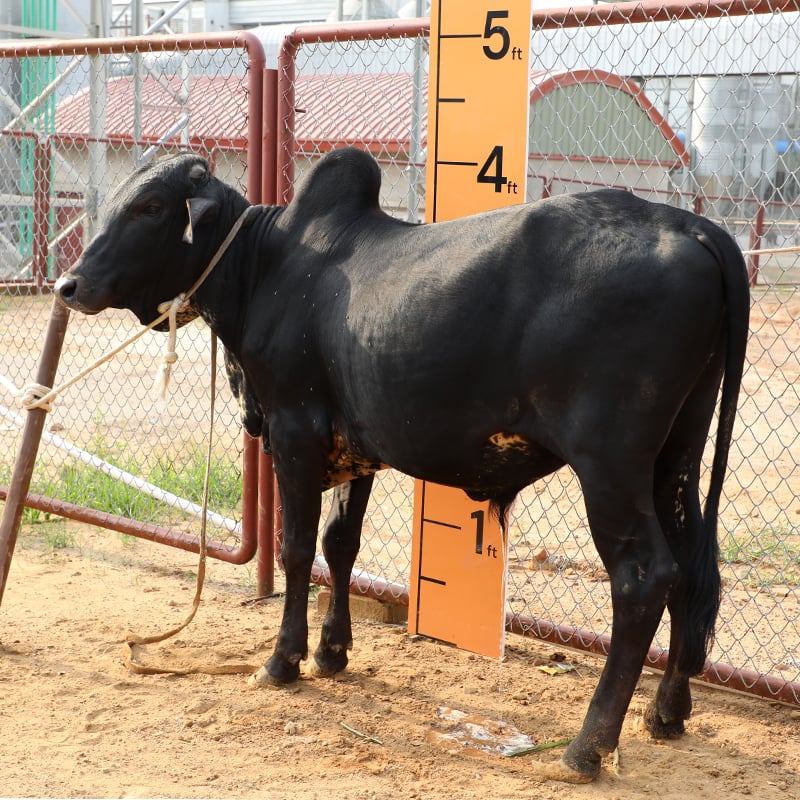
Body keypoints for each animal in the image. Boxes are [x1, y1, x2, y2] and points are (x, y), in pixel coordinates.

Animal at [54, 147, 749, 783]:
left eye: (150, 207)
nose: (69, 285)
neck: (268, 266)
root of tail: (690, 225)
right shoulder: (354, 448)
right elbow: (340, 544)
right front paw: (333, 650)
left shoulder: (295, 433)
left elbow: (296, 549)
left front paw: (283, 661)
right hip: (676, 459)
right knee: (691, 569)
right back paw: (666, 712)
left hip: (609, 464)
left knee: (644, 577)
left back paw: (587, 747)